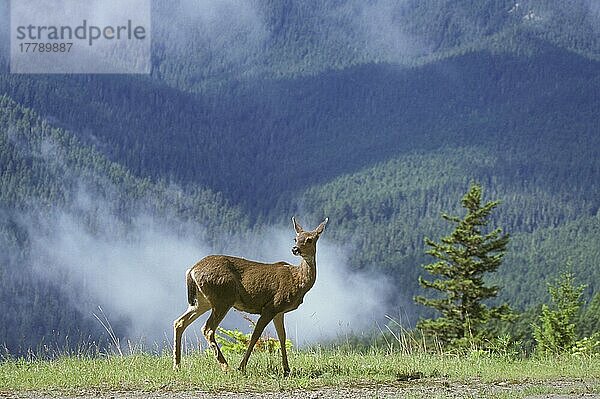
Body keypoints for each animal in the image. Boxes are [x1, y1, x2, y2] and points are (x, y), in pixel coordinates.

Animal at [173, 217, 328, 376]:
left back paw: (177, 365)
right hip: (223, 297)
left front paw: (287, 369)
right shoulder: (271, 306)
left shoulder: (280, 311)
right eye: (295, 238)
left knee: (179, 322)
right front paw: (242, 366)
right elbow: (255, 336)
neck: (297, 280)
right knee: (208, 329)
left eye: (309, 239)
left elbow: (282, 337)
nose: (295, 249)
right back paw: (226, 367)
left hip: (202, 301)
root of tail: (192, 270)